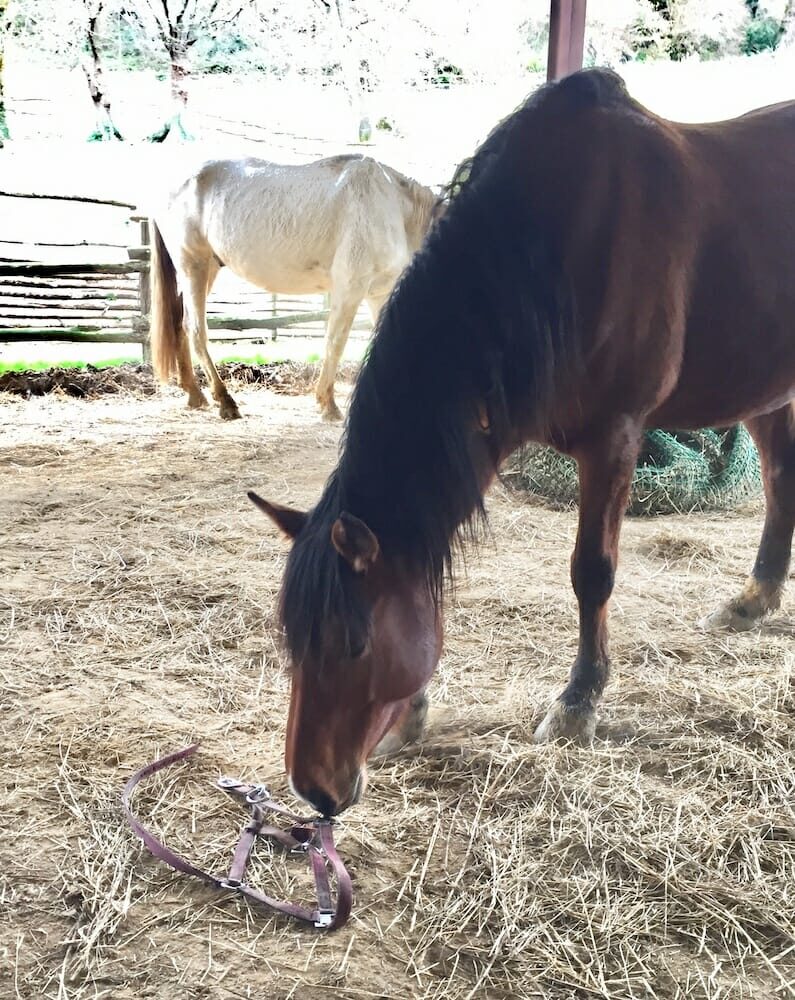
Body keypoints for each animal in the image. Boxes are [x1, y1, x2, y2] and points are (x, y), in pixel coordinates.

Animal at [149, 154, 442, 420]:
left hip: (207, 270)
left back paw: (194, 394)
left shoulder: (379, 293)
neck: (396, 207)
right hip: (194, 267)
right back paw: (225, 401)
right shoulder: (350, 288)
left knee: (180, 323)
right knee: (196, 330)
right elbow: (335, 342)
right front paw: (328, 404)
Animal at [250, 72, 795, 820]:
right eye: (291, 639)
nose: (314, 789)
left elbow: (592, 573)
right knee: (778, 478)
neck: (555, 251)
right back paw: (754, 598)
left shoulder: (615, 438)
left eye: (355, 645)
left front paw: (577, 704)